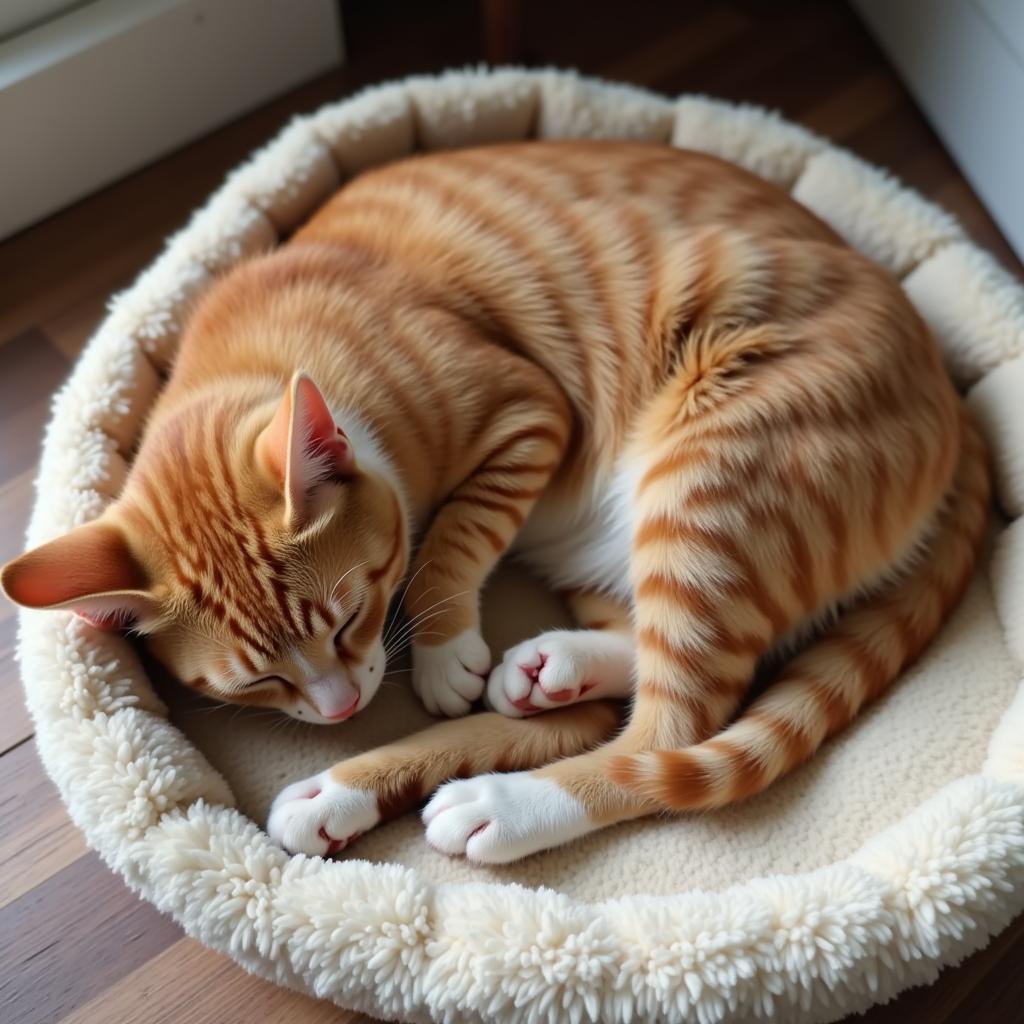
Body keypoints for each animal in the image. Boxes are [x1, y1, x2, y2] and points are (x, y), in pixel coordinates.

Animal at [2, 142, 991, 864]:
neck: (270, 351)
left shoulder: (529, 412)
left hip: (710, 485)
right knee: (651, 678)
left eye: (353, 616)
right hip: (619, 547)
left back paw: (500, 805)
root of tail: (955, 403)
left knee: (671, 732)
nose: (340, 711)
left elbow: (452, 534)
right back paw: (529, 683)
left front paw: (442, 648)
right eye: (256, 683)